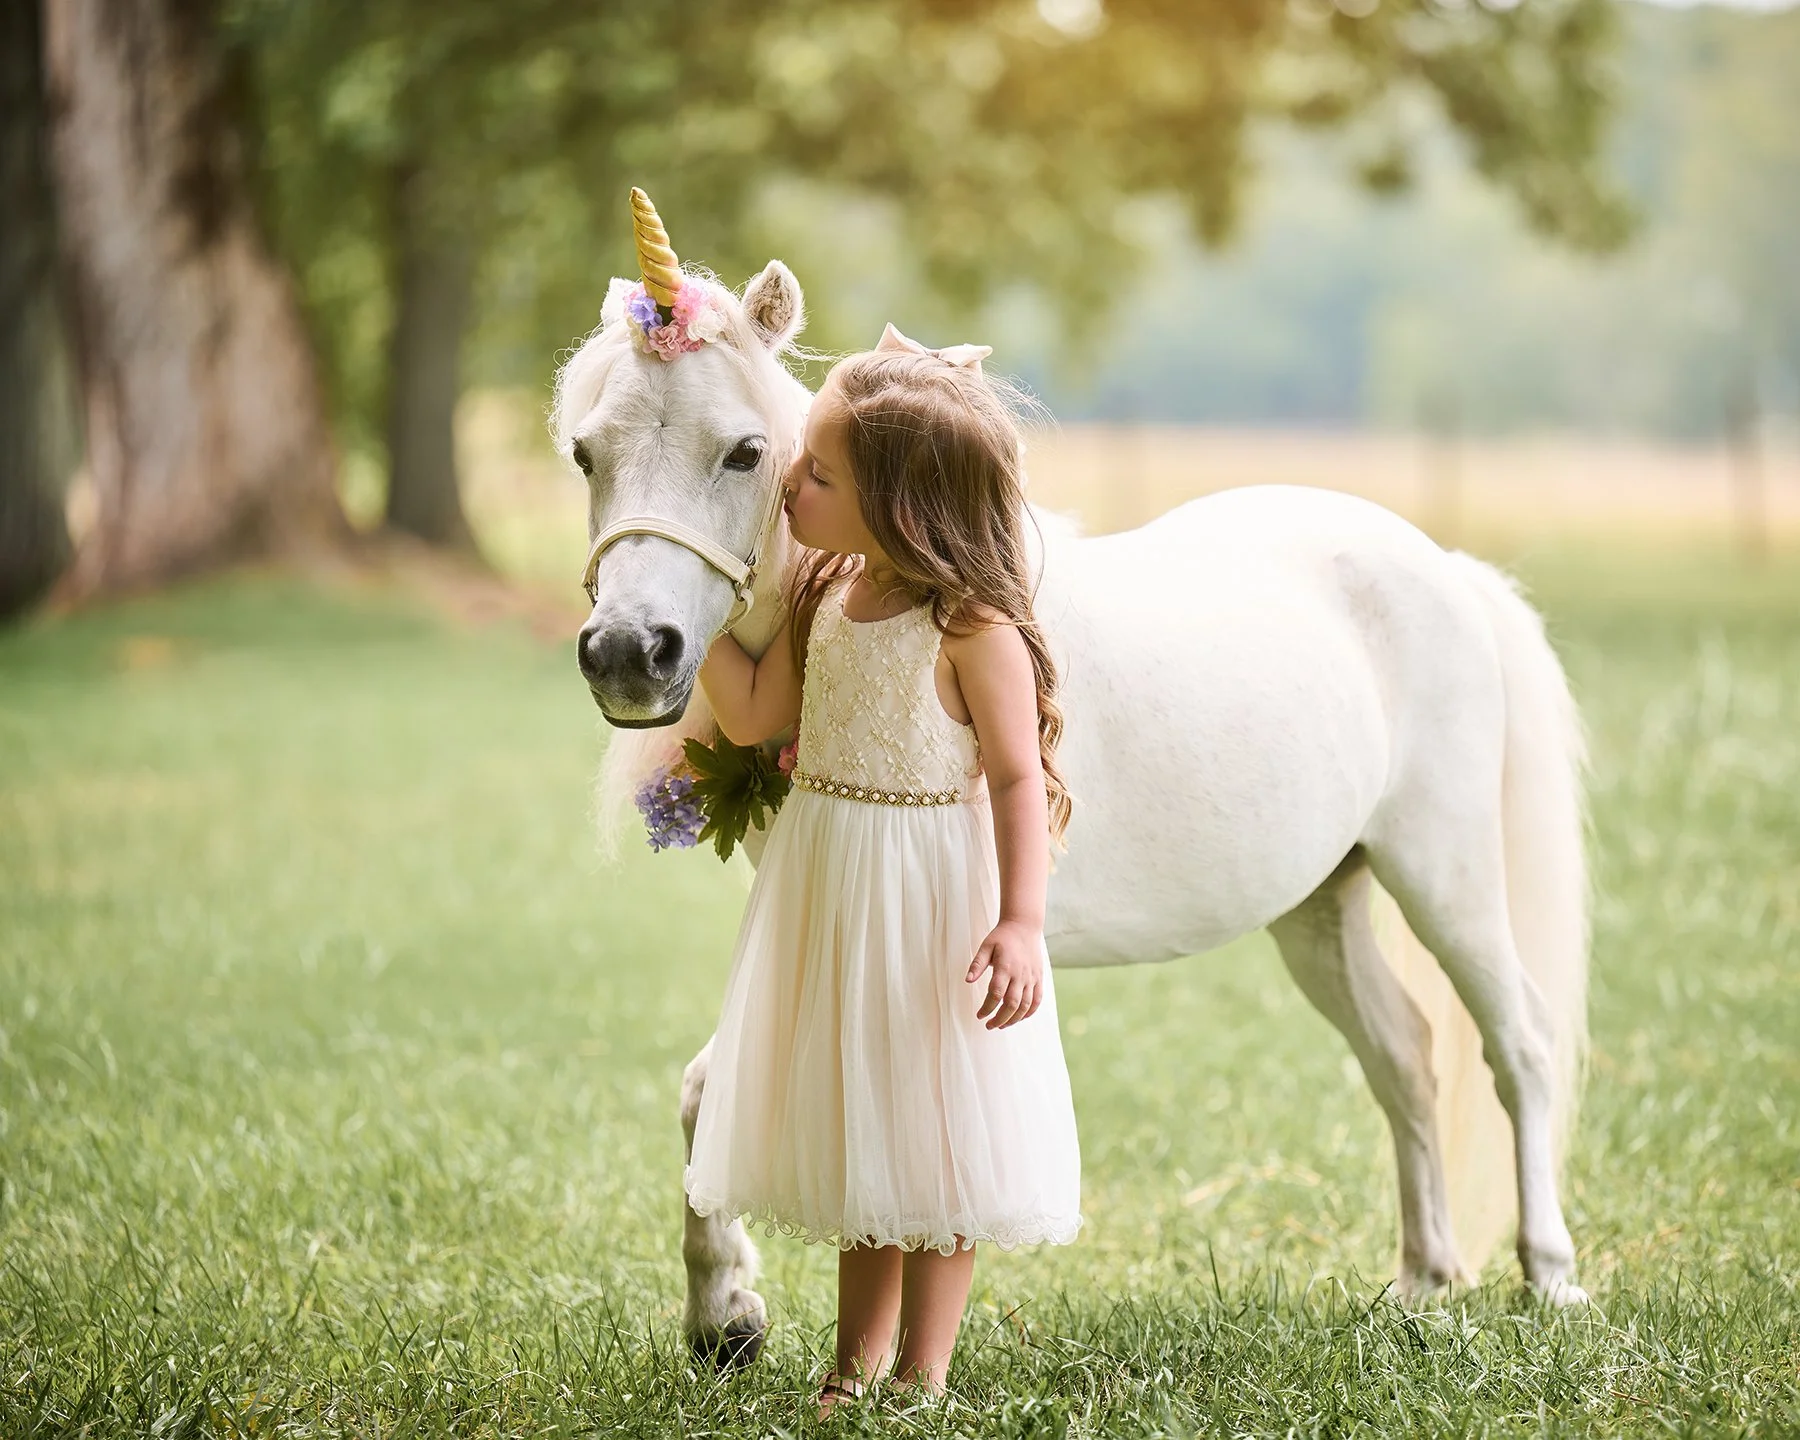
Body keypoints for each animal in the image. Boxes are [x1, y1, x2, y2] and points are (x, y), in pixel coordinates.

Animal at [552, 195, 1591, 1364]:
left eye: (744, 452)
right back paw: (1422, 1281)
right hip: (1321, 905)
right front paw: (724, 1319)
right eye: (585, 452)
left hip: (1446, 873)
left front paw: (742, 1311)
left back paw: (1549, 1276)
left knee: (1520, 1047)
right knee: (1406, 1059)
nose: (629, 652)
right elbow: (708, 1096)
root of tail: (1446, 570)